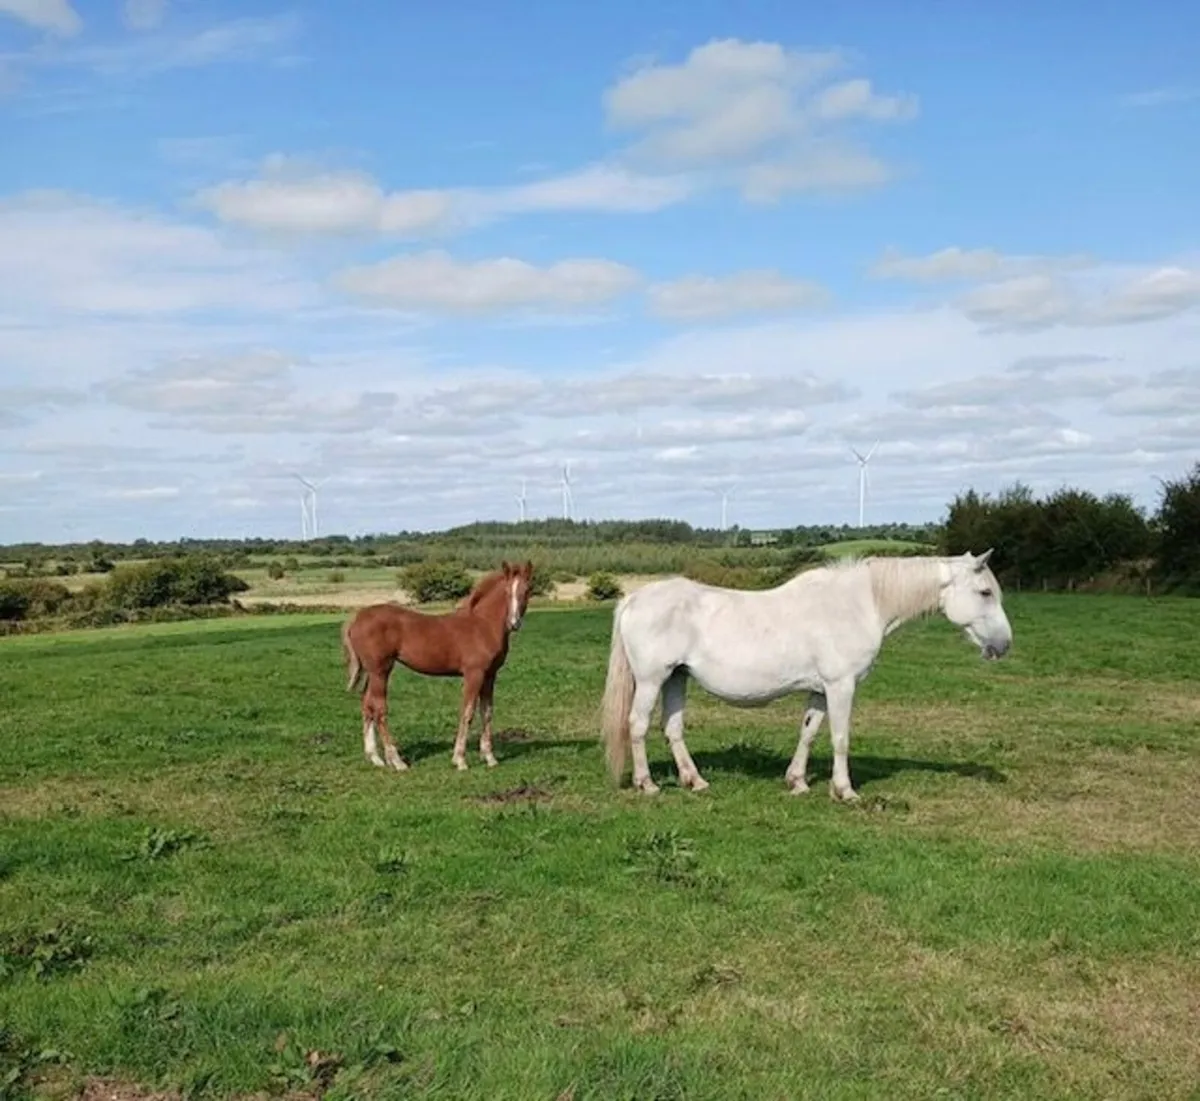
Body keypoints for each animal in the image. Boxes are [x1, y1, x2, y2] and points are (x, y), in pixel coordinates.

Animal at [342, 560, 534, 772]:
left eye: (527, 590)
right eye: (507, 591)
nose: (514, 623)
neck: (483, 625)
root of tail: (357, 617)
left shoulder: (490, 675)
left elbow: (487, 712)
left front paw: (490, 757)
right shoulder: (474, 673)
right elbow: (467, 712)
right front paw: (460, 759)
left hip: (372, 672)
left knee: (366, 704)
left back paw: (375, 757)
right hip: (381, 670)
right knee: (379, 709)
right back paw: (397, 761)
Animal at [599, 550, 1012, 801]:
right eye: (985, 592)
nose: (1004, 645)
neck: (859, 604)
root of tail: (633, 599)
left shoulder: (820, 689)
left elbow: (809, 732)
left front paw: (797, 781)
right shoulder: (841, 686)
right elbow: (840, 737)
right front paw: (845, 791)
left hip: (676, 677)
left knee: (672, 728)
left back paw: (695, 781)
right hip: (652, 679)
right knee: (637, 725)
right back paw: (647, 784)